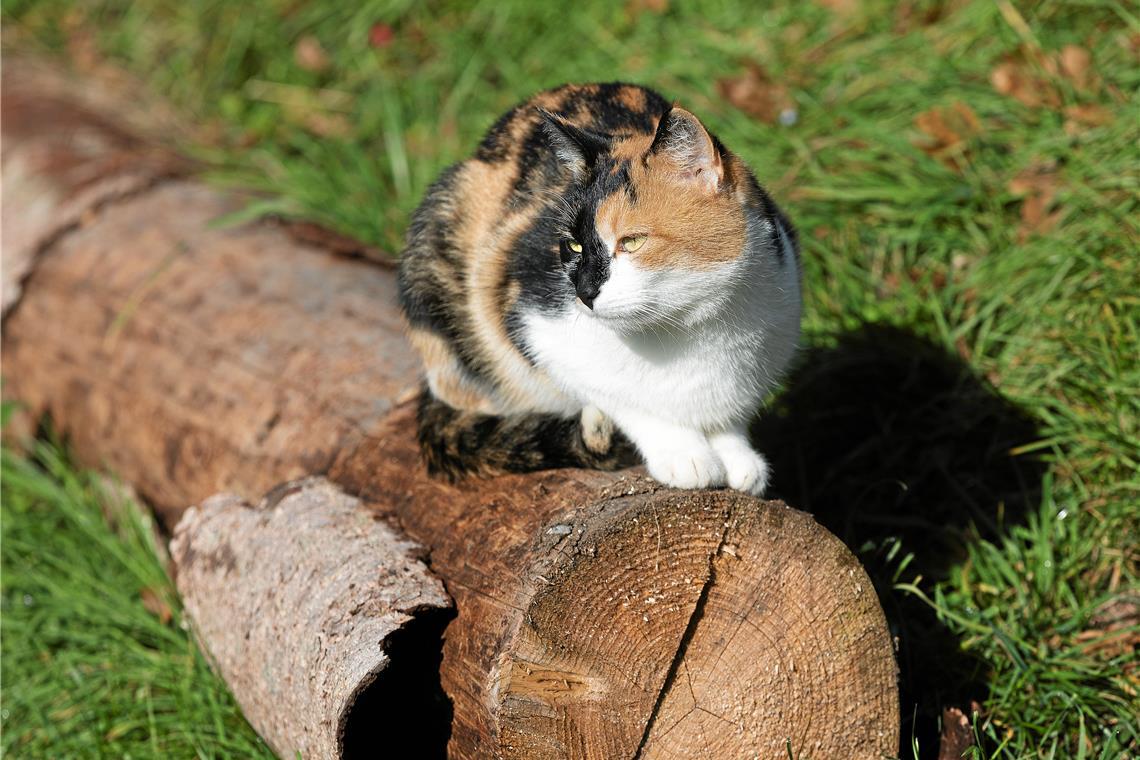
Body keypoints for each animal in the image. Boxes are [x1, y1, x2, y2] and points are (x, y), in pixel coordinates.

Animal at [401, 83, 802, 496]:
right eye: (573, 245)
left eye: (632, 241)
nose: (585, 293)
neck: (688, 326)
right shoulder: (534, 325)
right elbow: (624, 397)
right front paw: (684, 454)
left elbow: (730, 411)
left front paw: (738, 456)